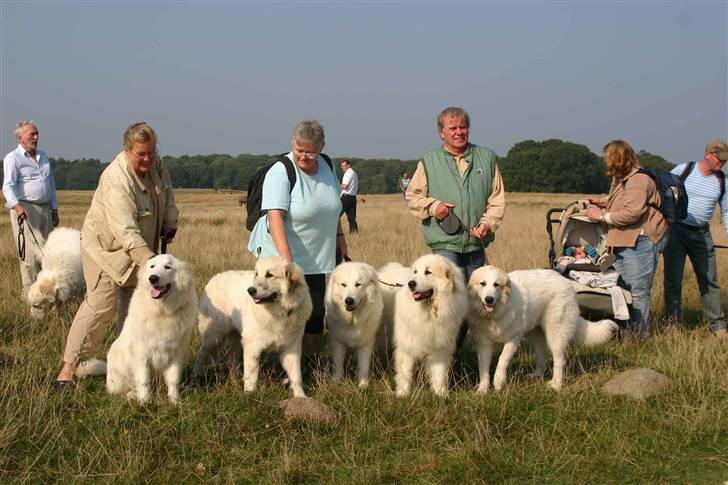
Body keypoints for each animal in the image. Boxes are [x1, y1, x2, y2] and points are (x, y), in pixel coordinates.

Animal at [104, 253, 196, 404]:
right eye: (152, 266)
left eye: (168, 267)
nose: (152, 278)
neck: (162, 312)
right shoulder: (142, 354)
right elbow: (143, 380)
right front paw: (145, 401)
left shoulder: (176, 353)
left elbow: (173, 380)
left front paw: (174, 400)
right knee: (122, 390)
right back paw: (132, 395)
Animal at [192, 255, 312, 396]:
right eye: (256, 274)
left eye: (269, 275)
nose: (250, 290)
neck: (279, 312)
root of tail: (214, 279)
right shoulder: (253, 347)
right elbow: (252, 375)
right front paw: (249, 394)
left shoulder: (291, 348)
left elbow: (296, 376)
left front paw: (301, 396)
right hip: (214, 336)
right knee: (202, 353)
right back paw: (196, 374)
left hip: (237, 338)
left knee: (231, 357)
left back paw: (235, 377)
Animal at [392, 253, 466, 398]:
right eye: (415, 272)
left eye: (428, 272)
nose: (411, 283)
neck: (428, 312)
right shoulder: (406, 347)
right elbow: (405, 372)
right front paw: (403, 393)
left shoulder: (440, 348)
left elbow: (439, 373)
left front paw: (440, 393)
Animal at [470, 264, 616, 394]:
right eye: (482, 283)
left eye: (496, 285)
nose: (489, 299)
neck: (494, 315)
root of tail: (567, 283)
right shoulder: (483, 344)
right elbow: (483, 367)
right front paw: (482, 389)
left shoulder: (513, 338)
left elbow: (502, 360)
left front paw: (498, 381)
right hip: (535, 335)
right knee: (542, 356)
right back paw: (537, 375)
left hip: (555, 333)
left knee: (559, 360)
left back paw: (556, 385)